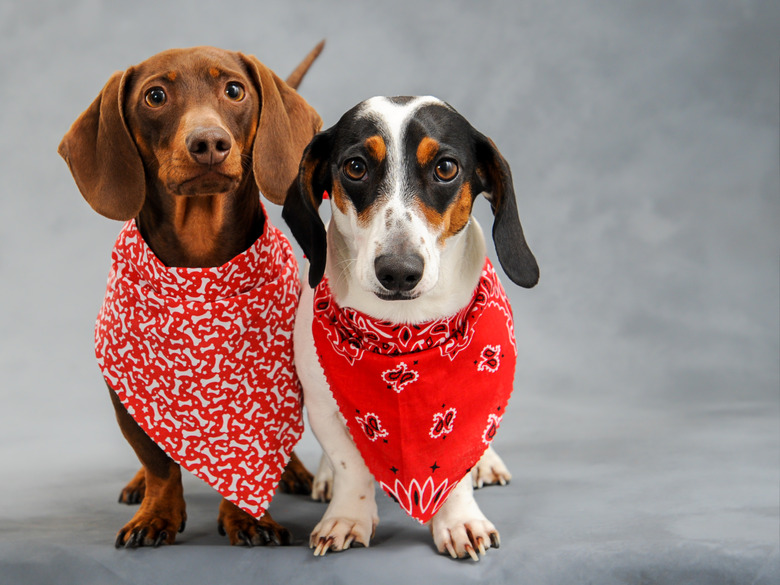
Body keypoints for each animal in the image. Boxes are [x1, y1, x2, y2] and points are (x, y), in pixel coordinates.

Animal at [58, 44, 322, 548]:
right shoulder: (125, 394)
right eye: (155, 95)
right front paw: (156, 513)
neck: (200, 267)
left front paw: (248, 518)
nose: (209, 143)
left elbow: (258, 455)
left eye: (235, 90)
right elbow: (158, 464)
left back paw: (295, 472)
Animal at [284, 97, 540, 560]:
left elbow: (457, 468)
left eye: (446, 168)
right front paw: (346, 515)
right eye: (355, 166)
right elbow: (350, 465)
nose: (399, 272)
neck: (403, 335)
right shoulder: (322, 406)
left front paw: (459, 521)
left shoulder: (466, 416)